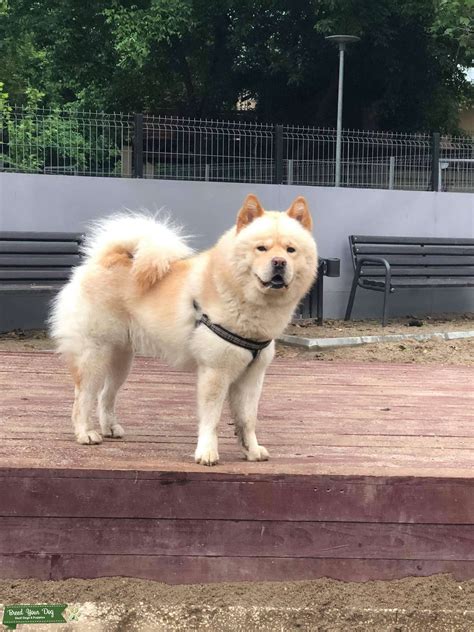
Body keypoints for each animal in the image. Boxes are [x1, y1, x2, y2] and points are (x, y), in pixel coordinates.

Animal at [50, 195, 318, 466]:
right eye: (261, 248)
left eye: (290, 250)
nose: (279, 263)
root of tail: (104, 259)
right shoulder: (215, 372)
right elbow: (212, 418)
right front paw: (207, 452)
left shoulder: (252, 376)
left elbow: (247, 419)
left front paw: (251, 450)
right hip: (94, 355)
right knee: (83, 397)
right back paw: (86, 433)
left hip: (120, 360)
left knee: (106, 395)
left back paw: (110, 428)